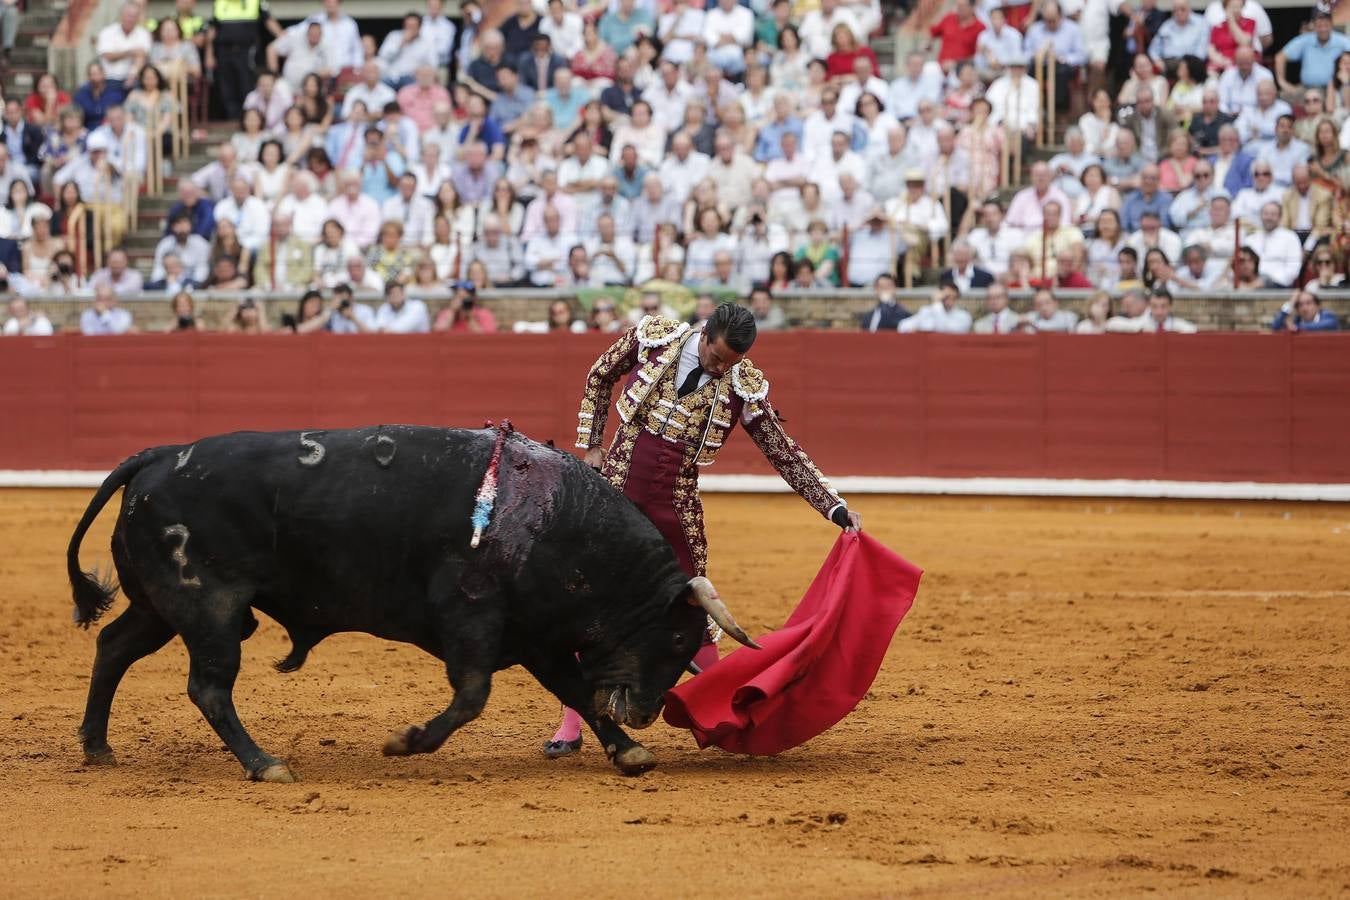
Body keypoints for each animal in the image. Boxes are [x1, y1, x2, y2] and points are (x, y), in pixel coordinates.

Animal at [65, 426, 761, 777]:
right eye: (678, 638)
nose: (649, 714)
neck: (553, 517)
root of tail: (157, 457)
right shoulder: (472, 617)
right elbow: (473, 694)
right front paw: (407, 742)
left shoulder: (533, 635)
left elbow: (573, 690)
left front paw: (629, 751)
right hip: (208, 606)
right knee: (209, 687)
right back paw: (265, 764)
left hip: (160, 606)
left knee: (114, 645)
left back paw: (98, 747)